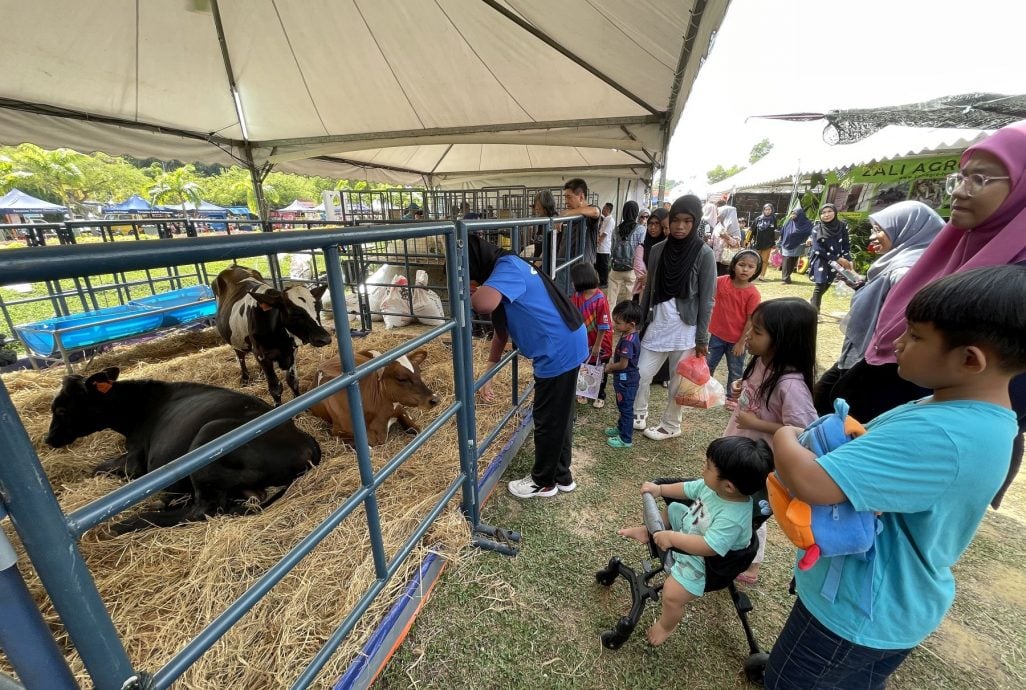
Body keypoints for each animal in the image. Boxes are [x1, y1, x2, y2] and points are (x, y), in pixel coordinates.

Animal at [44, 364, 320, 533]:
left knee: (201, 510)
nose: (48, 439)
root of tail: (305, 441)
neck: (138, 409)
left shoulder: (136, 461)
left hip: (207, 440)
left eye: (61, 409)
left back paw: (129, 522)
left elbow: (101, 467)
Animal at [212, 264, 328, 403]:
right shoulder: (262, 355)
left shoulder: (292, 351)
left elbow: (293, 381)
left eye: (319, 308)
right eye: (294, 313)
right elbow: (275, 388)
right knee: (240, 356)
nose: (324, 338)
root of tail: (233, 266)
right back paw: (245, 378)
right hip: (235, 341)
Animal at [311, 350, 441, 447]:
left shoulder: (399, 408)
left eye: (419, 372)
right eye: (401, 378)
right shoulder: (339, 432)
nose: (434, 399)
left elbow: (417, 429)